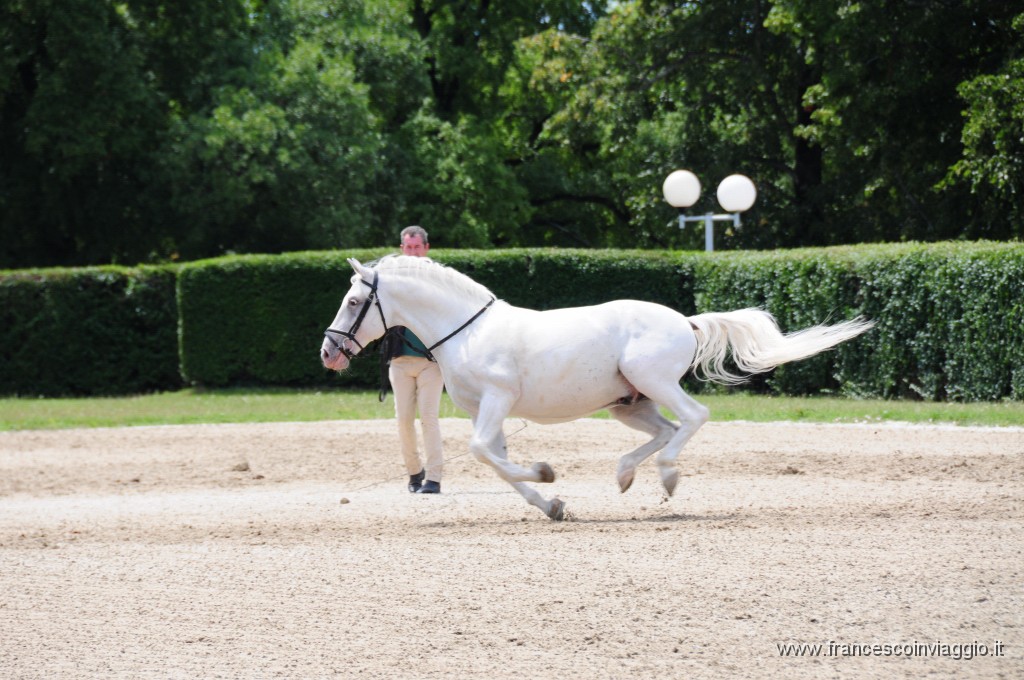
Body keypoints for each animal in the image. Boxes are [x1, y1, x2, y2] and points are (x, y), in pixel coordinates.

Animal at [319, 256, 872, 520]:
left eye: (353, 302)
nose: (329, 352)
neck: (467, 330)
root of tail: (685, 321)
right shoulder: (483, 409)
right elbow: (496, 461)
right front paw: (551, 504)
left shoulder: (497, 400)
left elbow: (482, 453)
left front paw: (546, 475)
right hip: (627, 404)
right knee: (664, 430)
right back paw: (626, 474)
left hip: (653, 380)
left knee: (693, 418)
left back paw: (667, 477)